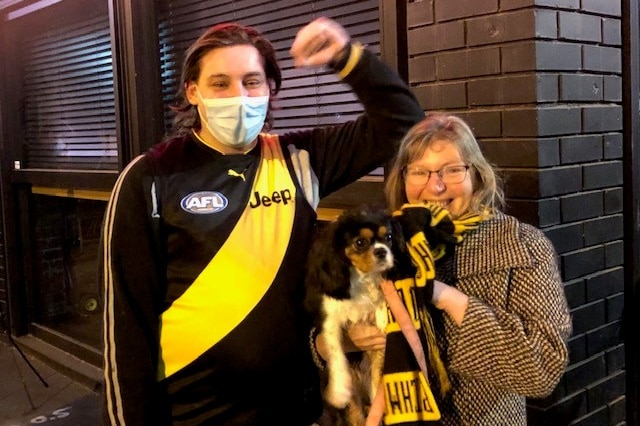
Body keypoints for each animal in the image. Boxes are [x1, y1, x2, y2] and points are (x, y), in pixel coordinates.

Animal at [302, 208, 392, 424]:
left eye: (388, 237)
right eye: (360, 242)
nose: (382, 251)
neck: (361, 277)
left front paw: (382, 313)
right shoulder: (329, 320)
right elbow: (335, 352)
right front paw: (340, 389)